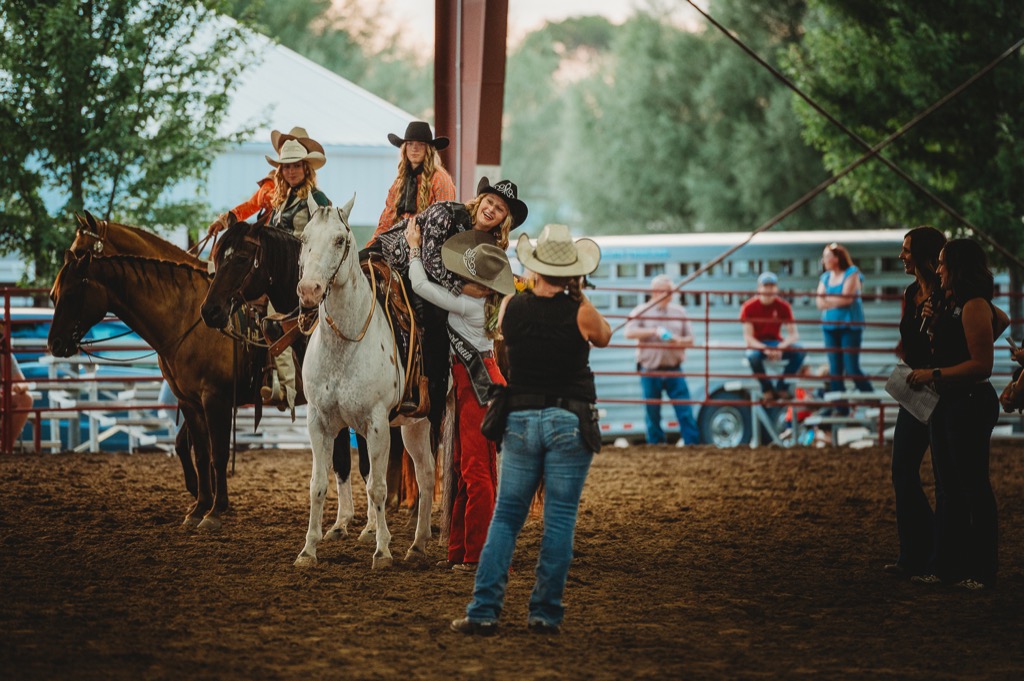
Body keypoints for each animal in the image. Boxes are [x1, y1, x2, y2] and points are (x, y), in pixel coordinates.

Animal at [49, 233, 262, 532]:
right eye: (53, 296)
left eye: (70, 295)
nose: (54, 344)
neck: (188, 318)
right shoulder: (189, 401)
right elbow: (198, 451)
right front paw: (199, 505)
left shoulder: (215, 399)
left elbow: (218, 455)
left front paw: (216, 510)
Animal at [294, 196, 434, 569]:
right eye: (304, 237)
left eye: (340, 240)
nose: (309, 291)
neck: (345, 344)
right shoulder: (318, 422)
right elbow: (318, 484)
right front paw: (308, 549)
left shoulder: (376, 424)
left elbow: (377, 487)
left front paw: (382, 550)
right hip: (414, 424)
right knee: (426, 475)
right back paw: (418, 544)